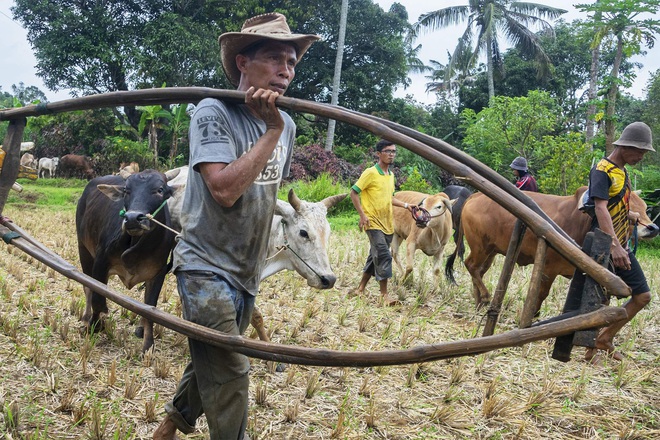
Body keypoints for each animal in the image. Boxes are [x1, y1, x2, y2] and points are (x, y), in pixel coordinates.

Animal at [76, 170, 180, 352]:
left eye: (160, 190)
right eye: (126, 190)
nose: (132, 218)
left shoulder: (158, 273)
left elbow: (150, 308)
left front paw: (148, 346)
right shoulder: (100, 263)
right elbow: (97, 298)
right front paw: (95, 325)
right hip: (83, 248)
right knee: (87, 287)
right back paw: (87, 317)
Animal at [446, 187, 656, 314]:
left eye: (646, 207)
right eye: (629, 212)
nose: (653, 228)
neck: (584, 222)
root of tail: (475, 195)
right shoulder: (549, 268)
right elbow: (541, 294)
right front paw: (532, 316)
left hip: (491, 251)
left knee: (478, 271)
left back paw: (479, 301)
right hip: (480, 247)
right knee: (471, 266)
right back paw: (485, 297)